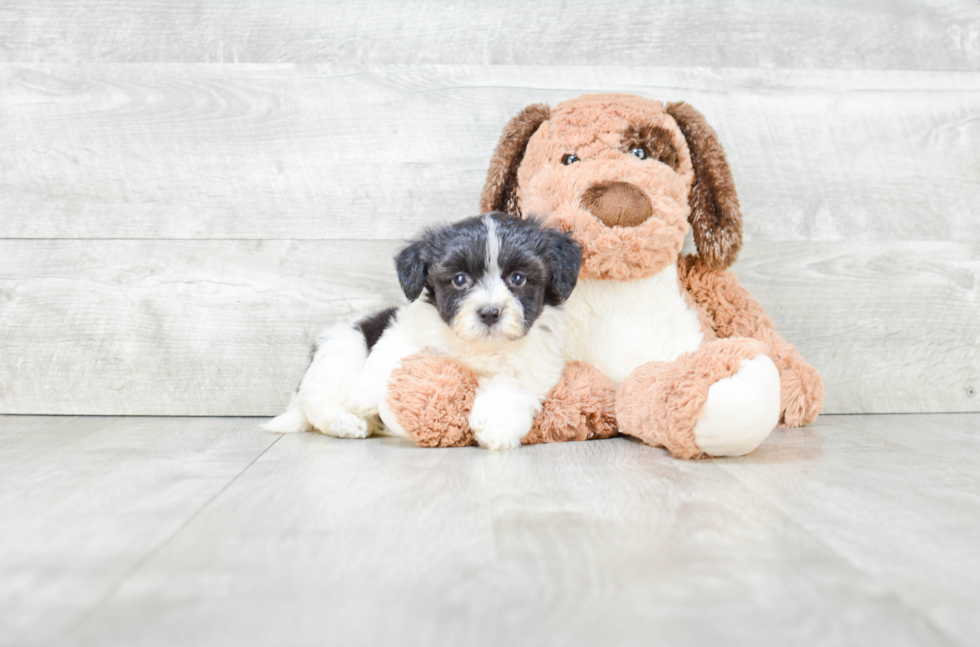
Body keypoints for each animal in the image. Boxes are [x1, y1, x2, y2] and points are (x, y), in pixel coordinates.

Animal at [262, 213, 580, 450]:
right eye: (460, 279)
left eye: (518, 278)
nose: (489, 312)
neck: (480, 346)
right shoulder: (405, 326)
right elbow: (390, 354)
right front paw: (366, 392)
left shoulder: (536, 366)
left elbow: (511, 387)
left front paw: (496, 424)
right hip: (341, 346)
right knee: (316, 401)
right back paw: (346, 422)